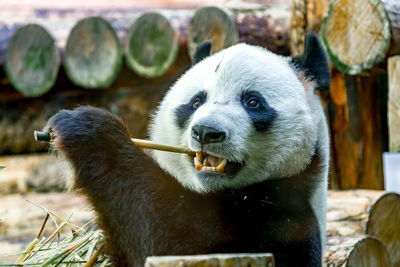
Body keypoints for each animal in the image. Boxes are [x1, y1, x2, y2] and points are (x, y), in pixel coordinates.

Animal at [43, 31, 332, 267]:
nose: (206, 132)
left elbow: (171, 241)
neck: (217, 193)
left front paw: (86, 131)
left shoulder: (284, 218)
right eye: (196, 101)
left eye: (253, 102)